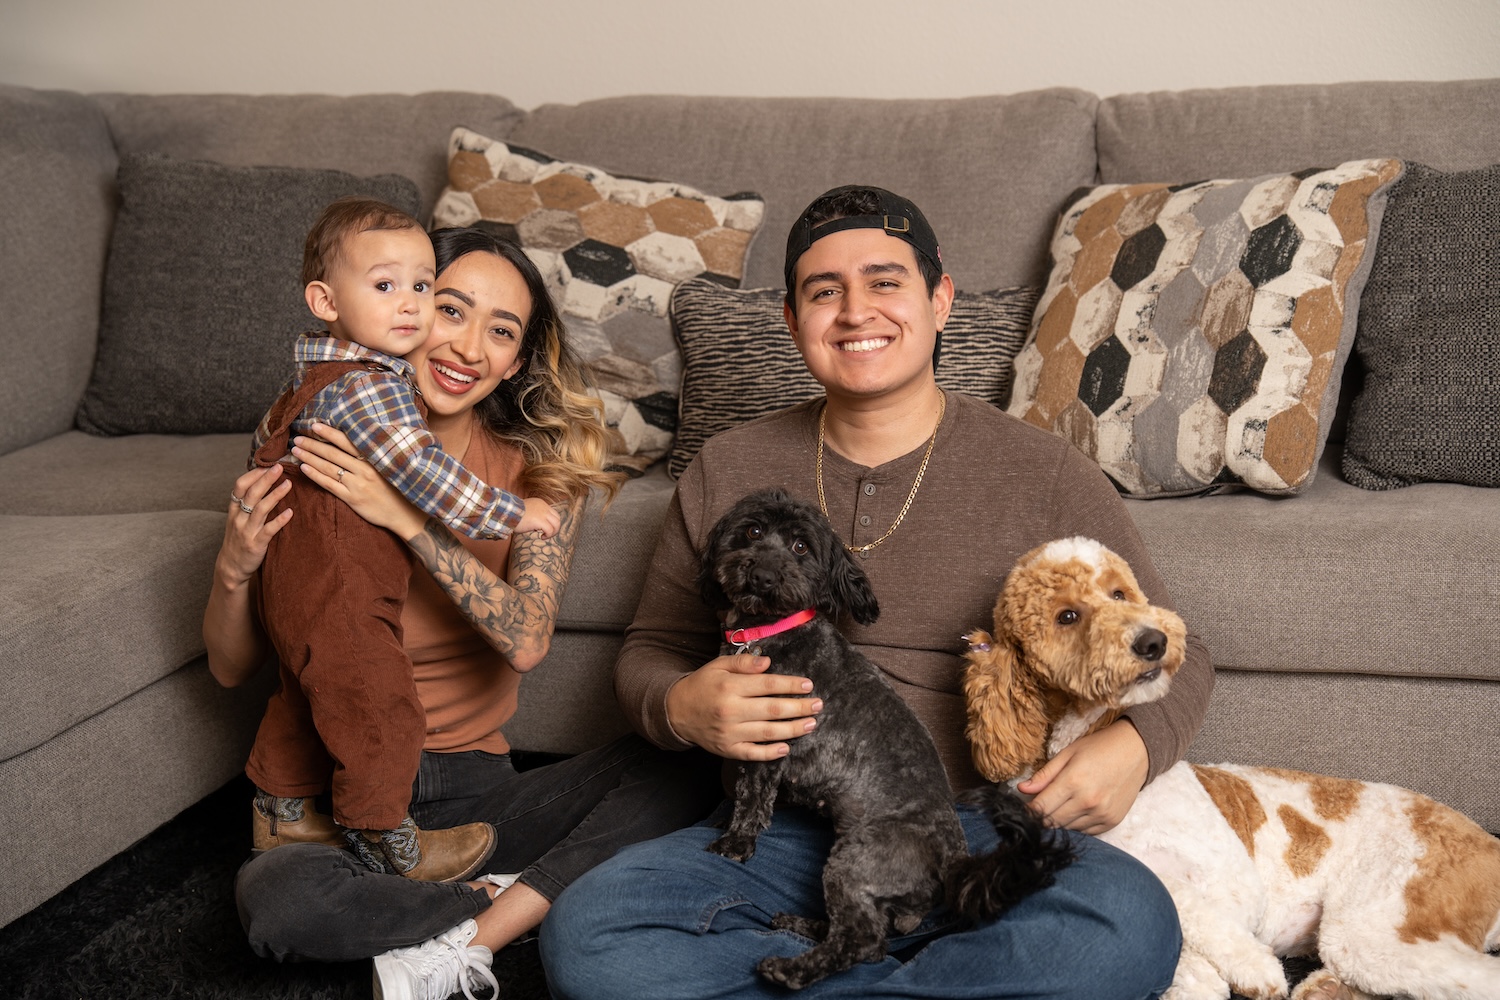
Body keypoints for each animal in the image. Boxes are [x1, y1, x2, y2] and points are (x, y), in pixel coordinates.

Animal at [696, 488, 1074, 989]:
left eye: (801, 547)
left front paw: (735, 843)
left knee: (863, 942)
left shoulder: (770, 739)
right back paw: (801, 925)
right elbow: (741, 789)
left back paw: (788, 969)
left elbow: (753, 797)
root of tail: (953, 860)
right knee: (868, 935)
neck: (769, 630)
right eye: (753, 531)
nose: (762, 575)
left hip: (856, 859)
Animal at [960, 539, 1500, 1000]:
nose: (1153, 640)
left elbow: (1180, 898)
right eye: (1067, 616)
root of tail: (1484, 838)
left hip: (1377, 922)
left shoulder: (1234, 882)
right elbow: (1185, 947)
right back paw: (1323, 987)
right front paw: (1227, 971)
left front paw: (1255, 967)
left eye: (1119, 592)